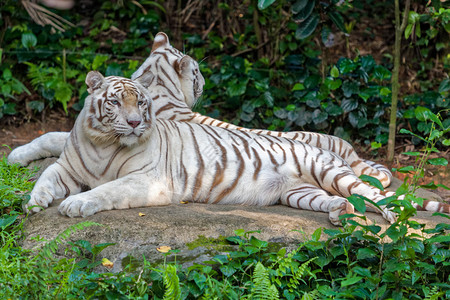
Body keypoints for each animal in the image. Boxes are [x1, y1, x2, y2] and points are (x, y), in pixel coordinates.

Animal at [7, 31, 394, 186]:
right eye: (196, 72)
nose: (205, 81)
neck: (155, 82)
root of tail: (348, 147)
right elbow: (52, 136)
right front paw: (17, 155)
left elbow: (57, 137)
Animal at [25, 71, 450, 225]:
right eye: (115, 102)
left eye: (141, 103)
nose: (134, 123)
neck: (103, 143)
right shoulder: (67, 167)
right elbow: (45, 177)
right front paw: (34, 203)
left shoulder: (146, 180)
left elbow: (106, 190)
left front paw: (77, 204)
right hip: (299, 193)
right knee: (343, 201)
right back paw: (338, 214)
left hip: (331, 172)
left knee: (378, 197)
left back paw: (394, 222)